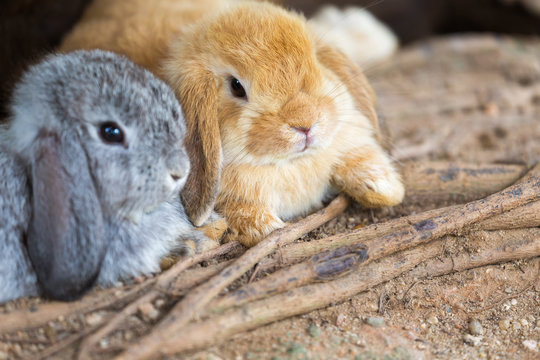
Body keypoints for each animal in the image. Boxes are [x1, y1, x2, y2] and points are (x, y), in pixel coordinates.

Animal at [60, 0, 404, 246]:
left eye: (315, 64)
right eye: (237, 86)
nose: (305, 124)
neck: (287, 164)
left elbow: (362, 161)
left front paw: (385, 186)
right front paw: (268, 229)